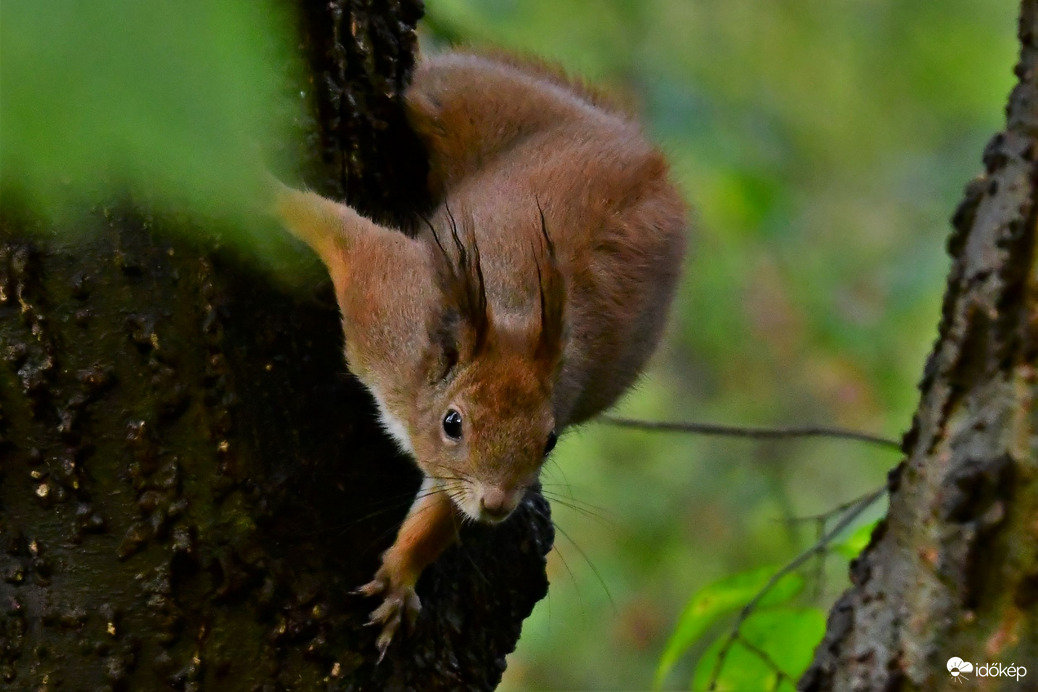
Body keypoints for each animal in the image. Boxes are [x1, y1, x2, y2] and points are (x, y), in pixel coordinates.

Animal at [271, 51, 685, 659]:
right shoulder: (387, 304)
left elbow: (443, 509)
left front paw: (401, 574)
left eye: (550, 440)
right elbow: (336, 230)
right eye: (453, 423)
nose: (497, 505)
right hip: (457, 98)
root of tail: (633, 144)